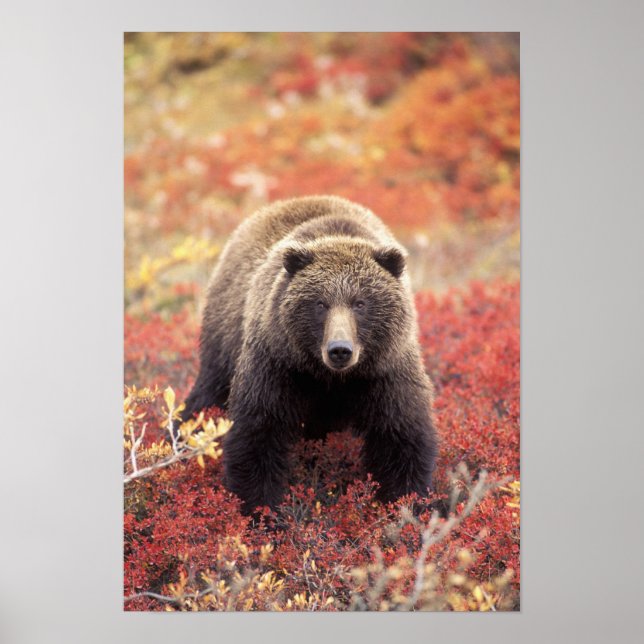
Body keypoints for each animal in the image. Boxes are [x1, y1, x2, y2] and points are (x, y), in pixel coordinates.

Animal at [182, 195, 437, 514]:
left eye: (360, 303)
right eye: (320, 303)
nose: (340, 350)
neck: (331, 378)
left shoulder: (385, 371)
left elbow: (402, 437)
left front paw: (406, 505)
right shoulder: (278, 365)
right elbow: (257, 433)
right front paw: (262, 510)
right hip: (224, 337)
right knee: (207, 393)